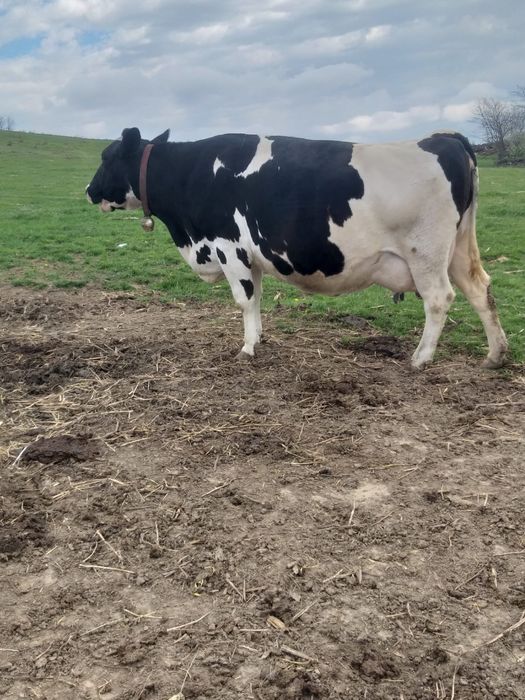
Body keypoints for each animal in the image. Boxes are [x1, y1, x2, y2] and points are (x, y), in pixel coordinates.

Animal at [86, 127, 507, 369]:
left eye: (106, 157)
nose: (89, 191)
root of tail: (444, 138)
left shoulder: (228, 247)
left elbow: (244, 300)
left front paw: (247, 349)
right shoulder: (249, 254)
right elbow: (255, 299)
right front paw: (258, 339)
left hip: (427, 253)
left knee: (439, 298)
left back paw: (420, 359)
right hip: (458, 249)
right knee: (480, 288)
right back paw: (495, 355)